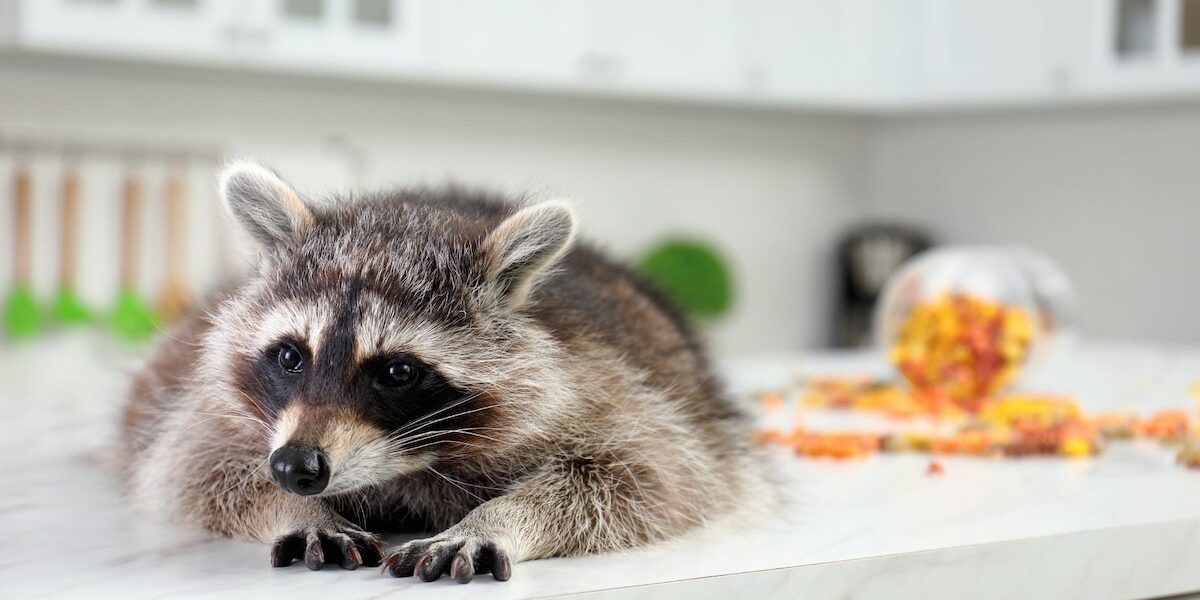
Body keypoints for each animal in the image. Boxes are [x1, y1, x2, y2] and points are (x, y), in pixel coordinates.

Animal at [122, 161, 771, 583]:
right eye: (290, 357)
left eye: (397, 371)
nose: (296, 469)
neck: (407, 465)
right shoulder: (213, 412)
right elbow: (196, 467)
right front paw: (294, 510)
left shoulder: (605, 386)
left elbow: (644, 478)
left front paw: (499, 518)